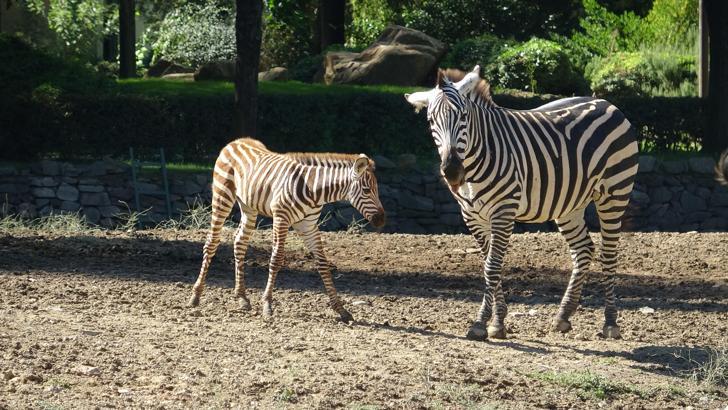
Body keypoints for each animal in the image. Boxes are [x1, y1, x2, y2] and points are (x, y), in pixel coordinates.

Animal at [188, 138, 386, 323]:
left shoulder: (309, 226)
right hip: (222, 196)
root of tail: (236, 141)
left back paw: (242, 297)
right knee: (211, 242)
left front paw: (341, 309)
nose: (382, 220)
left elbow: (323, 263)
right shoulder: (281, 218)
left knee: (240, 242)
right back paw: (195, 296)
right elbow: (276, 259)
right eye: (366, 190)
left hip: (248, 206)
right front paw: (267, 305)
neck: (313, 189)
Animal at [405, 66, 638, 340]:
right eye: (431, 121)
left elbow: (492, 267)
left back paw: (610, 322)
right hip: (570, 204)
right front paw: (498, 322)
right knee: (583, 249)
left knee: (609, 254)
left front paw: (481, 323)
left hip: (615, 192)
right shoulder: (472, 216)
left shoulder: (503, 212)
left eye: (463, 116)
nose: (452, 171)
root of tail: (605, 102)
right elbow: (488, 265)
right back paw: (563, 316)